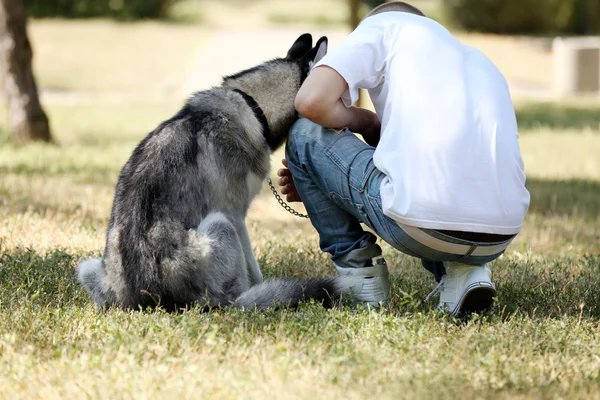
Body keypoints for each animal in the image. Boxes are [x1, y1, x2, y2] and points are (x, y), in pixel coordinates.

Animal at [75, 32, 356, 310]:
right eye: (340, 97)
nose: (348, 114)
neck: (253, 106)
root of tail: (150, 299)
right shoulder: (236, 216)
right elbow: (254, 270)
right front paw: (265, 288)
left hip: (87, 267)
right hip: (221, 225)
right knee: (236, 297)